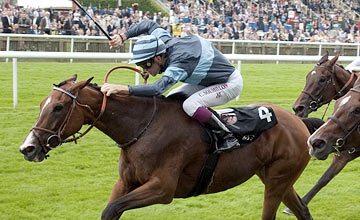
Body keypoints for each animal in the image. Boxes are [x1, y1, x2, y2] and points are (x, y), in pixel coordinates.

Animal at [19, 75, 318, 219]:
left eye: (58, 107)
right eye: (44, 103)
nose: (28, 148)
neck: (143, 128)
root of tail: (298, 122)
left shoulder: (162, 188)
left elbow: (113, 209)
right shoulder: (124, 182)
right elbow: (111, 209)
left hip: (277, 180)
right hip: (277, 178)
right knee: (302, 210)